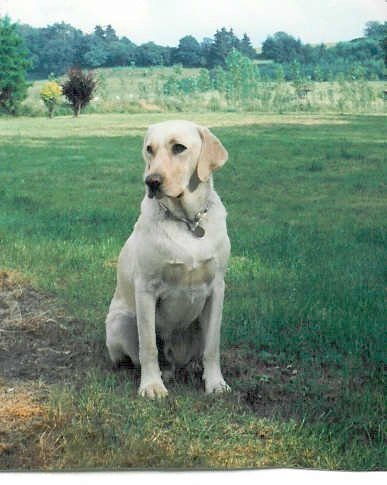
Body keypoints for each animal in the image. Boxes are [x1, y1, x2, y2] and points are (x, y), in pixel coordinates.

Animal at [105, 120, 230, 398]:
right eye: (149, 149)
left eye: (179, 147)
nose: (151, 181)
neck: (187, 222)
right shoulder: (146, 289)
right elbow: (149, 346)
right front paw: (151, 385)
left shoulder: (217, 288)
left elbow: (213, 346)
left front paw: (215, 383)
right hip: (121, 321)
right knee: (136, 356)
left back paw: (191, 369)